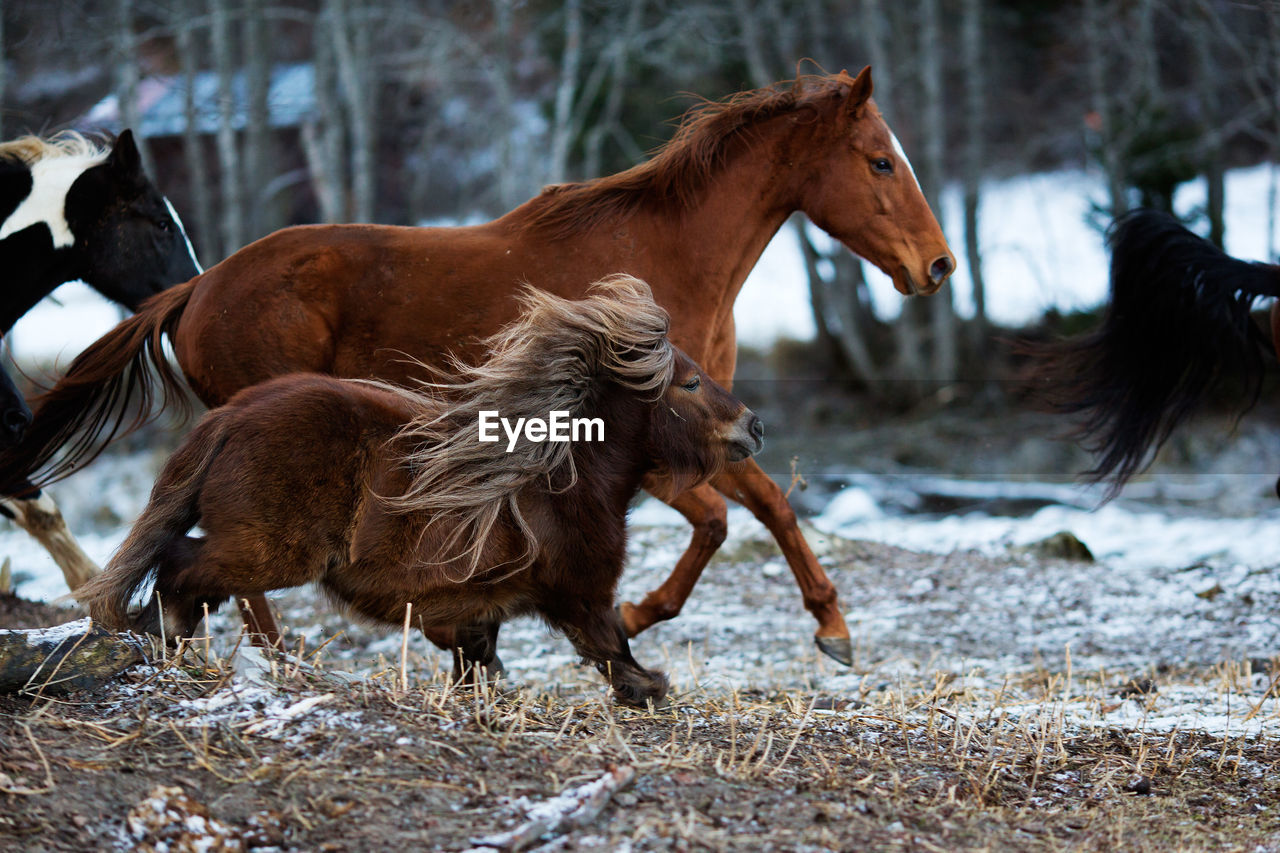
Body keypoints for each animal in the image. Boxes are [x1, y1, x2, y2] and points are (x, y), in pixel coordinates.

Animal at [80, 275, 757, 701]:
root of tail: (227, 419)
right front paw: (650, 688)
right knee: (182, 564)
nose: (753, 427)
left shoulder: (476, 609)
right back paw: (162, 635)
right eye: (690, 383)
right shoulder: (578, 592)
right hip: (267, 552)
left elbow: (478, 661)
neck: (561, 478)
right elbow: (610, 642)